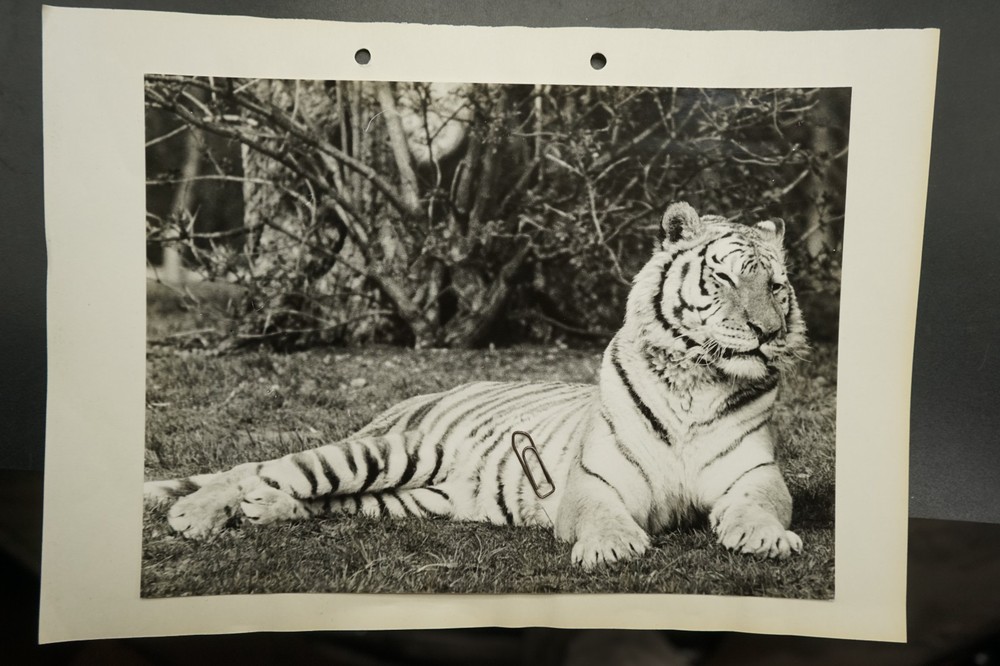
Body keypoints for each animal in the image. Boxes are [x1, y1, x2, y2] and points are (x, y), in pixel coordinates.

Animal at [144, 202, 808, 568]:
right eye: (724, 278)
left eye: (776, 287)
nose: (769, 332)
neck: (698, 378)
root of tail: (420, 397)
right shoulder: (594, 481)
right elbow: (603, 516)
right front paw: (613, 548)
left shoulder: (755, 474)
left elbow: (758, 504)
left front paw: (763, 538)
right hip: (384, 452)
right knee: (260, 469)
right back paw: (196, 514)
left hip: (404, 498)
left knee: (313, 499)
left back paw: (265, 510)